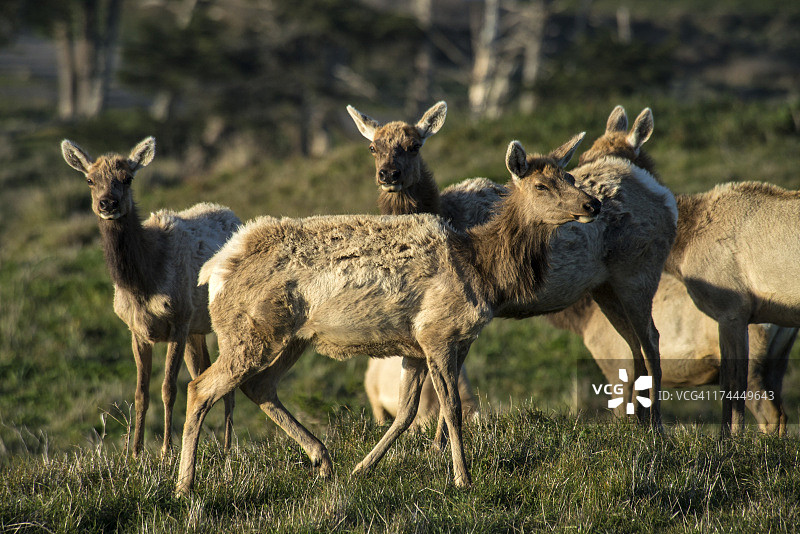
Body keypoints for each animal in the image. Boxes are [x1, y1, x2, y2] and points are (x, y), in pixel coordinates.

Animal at [61, 137, 239, 459]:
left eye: (127, 178)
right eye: (90, 180)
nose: (108, 203)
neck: (144, 284)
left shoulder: (179, 319)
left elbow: (168, 388)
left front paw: (167, 451)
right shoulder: (137, 330)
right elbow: (140, 392)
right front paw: (135, 453)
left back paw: (229, 446)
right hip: (197, 330)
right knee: (204, 373)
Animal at [347, 102, 677, 435]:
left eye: (414, 145)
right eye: (373, 147)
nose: (388, 174)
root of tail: (665, 196)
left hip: (638, 272)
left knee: (652, 341)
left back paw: (656, 427)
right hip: (605, 288)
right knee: (633, 345)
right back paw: (637, 423)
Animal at [577, 105, 800, 435]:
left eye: (602, 167)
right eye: (583, 156)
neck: (683, 250)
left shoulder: (732, 308)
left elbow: (732, 383)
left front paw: (729, 438)